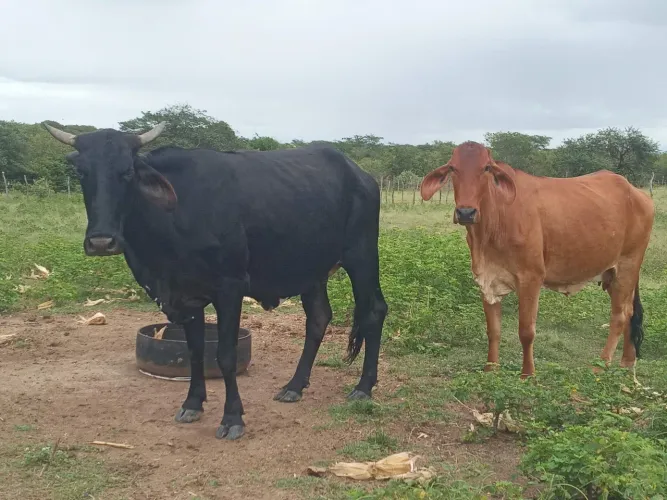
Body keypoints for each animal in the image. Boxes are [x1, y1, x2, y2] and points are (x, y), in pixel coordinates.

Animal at [43, 122, 388, 440]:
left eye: (126, 172)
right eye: (82, 172)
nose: (101, 241)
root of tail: (361, 175)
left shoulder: (230, 287)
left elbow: (225, 355)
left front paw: (232, 418)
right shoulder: (186, 297)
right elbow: (195, 352)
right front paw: (192, 404)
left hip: (361, 256)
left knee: (374, 311)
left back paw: (363, 387)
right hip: (311, 271)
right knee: (318, 318)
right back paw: (294, 386)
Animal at [420, 141, 654, 378]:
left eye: (486, 168)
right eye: (452, 168)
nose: (466, 212)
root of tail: (636, 192)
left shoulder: (531, 278)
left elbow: (526, 331)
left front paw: (528, 374)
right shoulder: (487, 278)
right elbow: (493, 330)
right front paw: (491, 369)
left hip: (628, 265)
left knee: (620, 315)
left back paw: (601, 364)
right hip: (613, 273)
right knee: (630, 311)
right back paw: (627, 362)